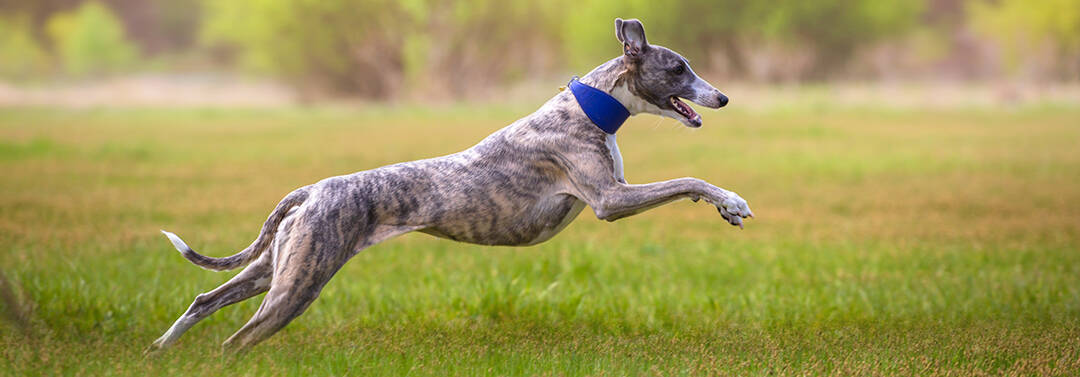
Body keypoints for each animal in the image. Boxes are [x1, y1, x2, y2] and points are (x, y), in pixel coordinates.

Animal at [147, 17, 751, 354]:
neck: (588, 108)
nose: (723, 98)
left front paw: (723, 206)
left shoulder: (616, 193)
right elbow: (687, 178)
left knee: (203, 300)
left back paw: (158, 352)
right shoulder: (610, 201)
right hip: (298, 282)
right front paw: (732, 201)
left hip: (276, 266)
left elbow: (684, 182)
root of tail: (311, 191)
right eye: (678, 68)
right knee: (236, 339)